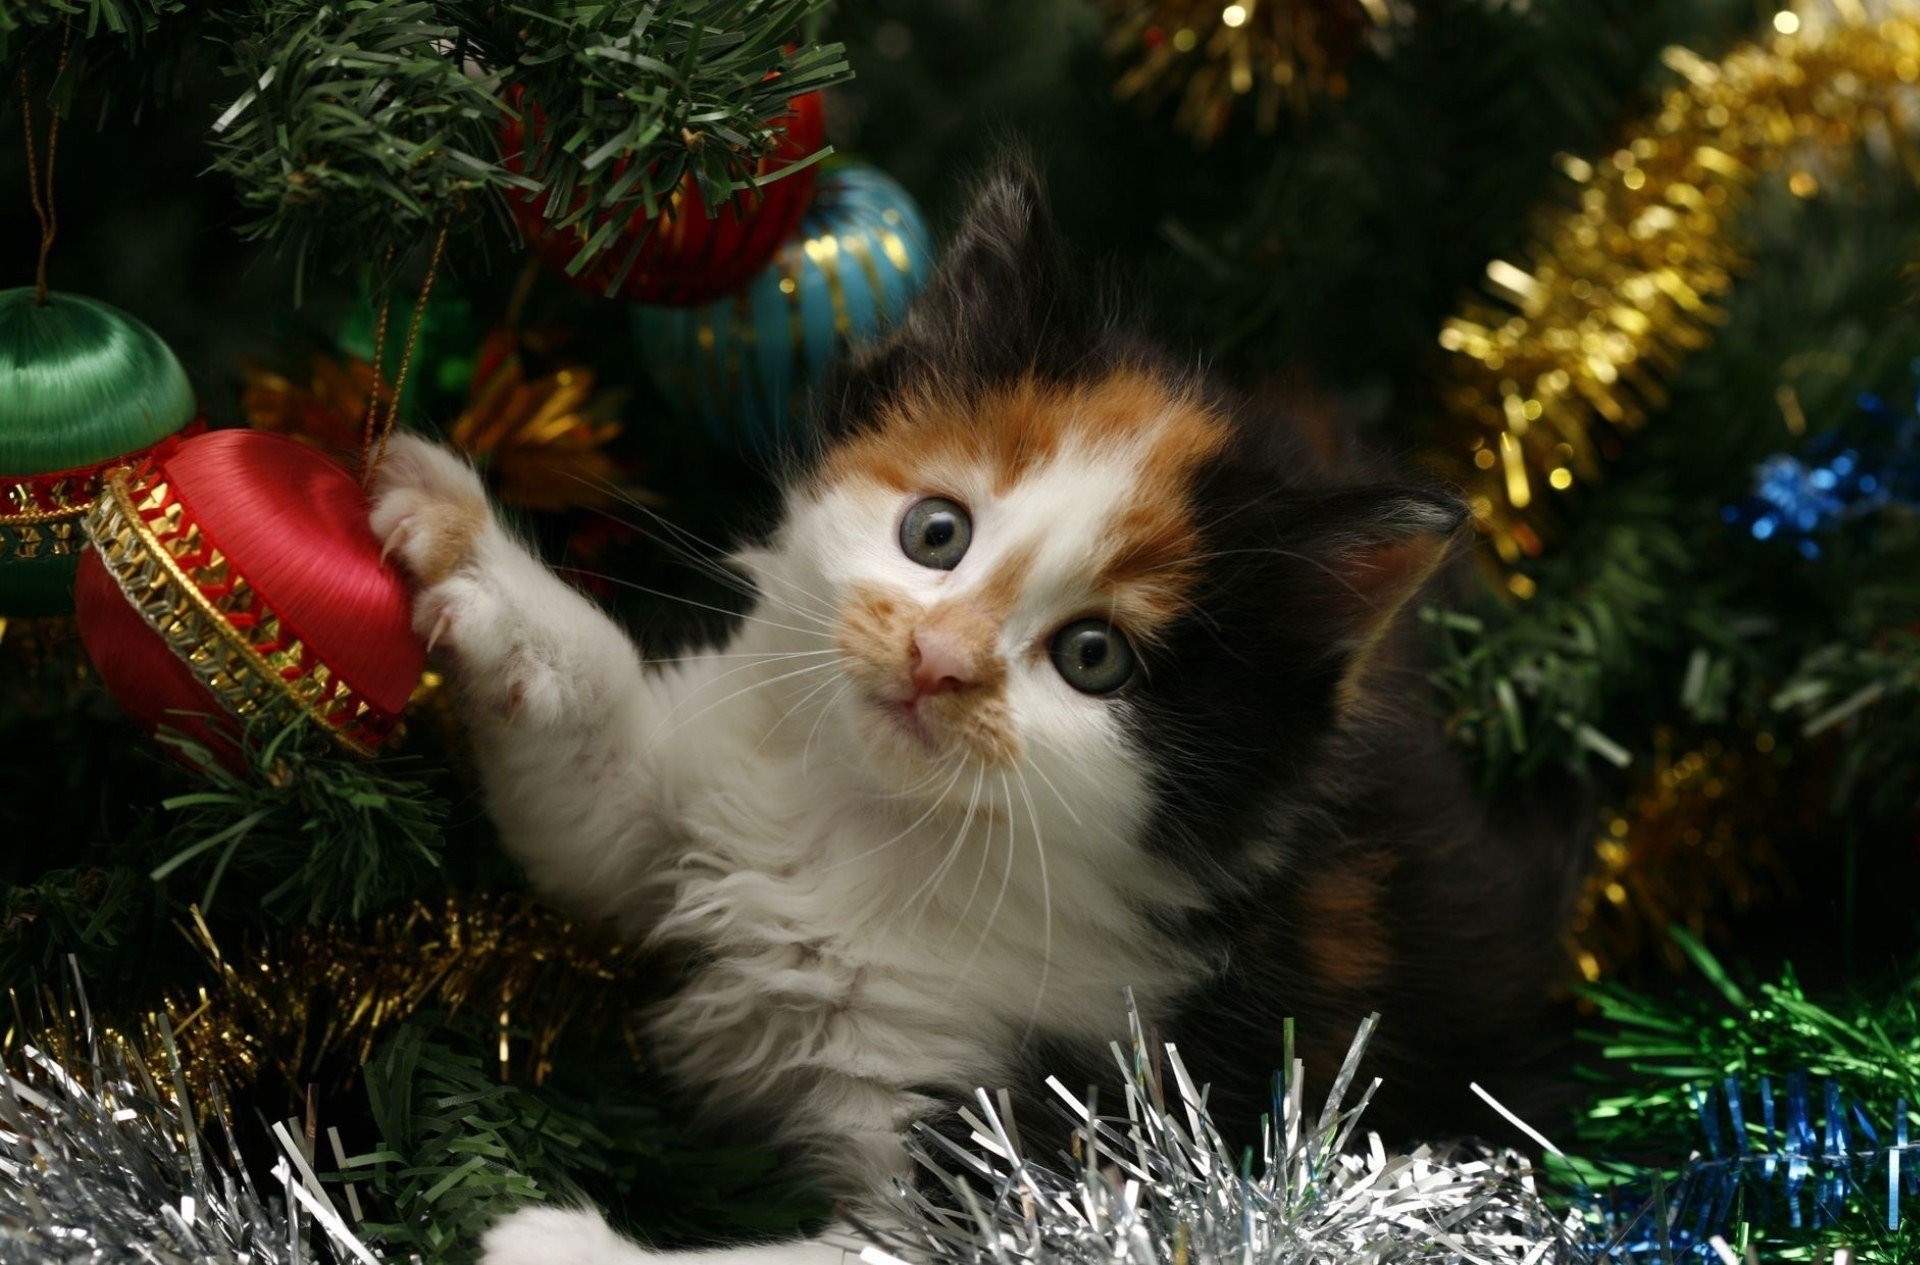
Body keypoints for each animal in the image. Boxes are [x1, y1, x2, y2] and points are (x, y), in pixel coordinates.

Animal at [366, 158, 1582, 1265]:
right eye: (936, 531)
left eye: (1094, 656)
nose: (938, 659)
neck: (883, 832)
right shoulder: (677, 812)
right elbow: (592, 782)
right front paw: (461, 543)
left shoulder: (1061, 1133)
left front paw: (551, 1239)